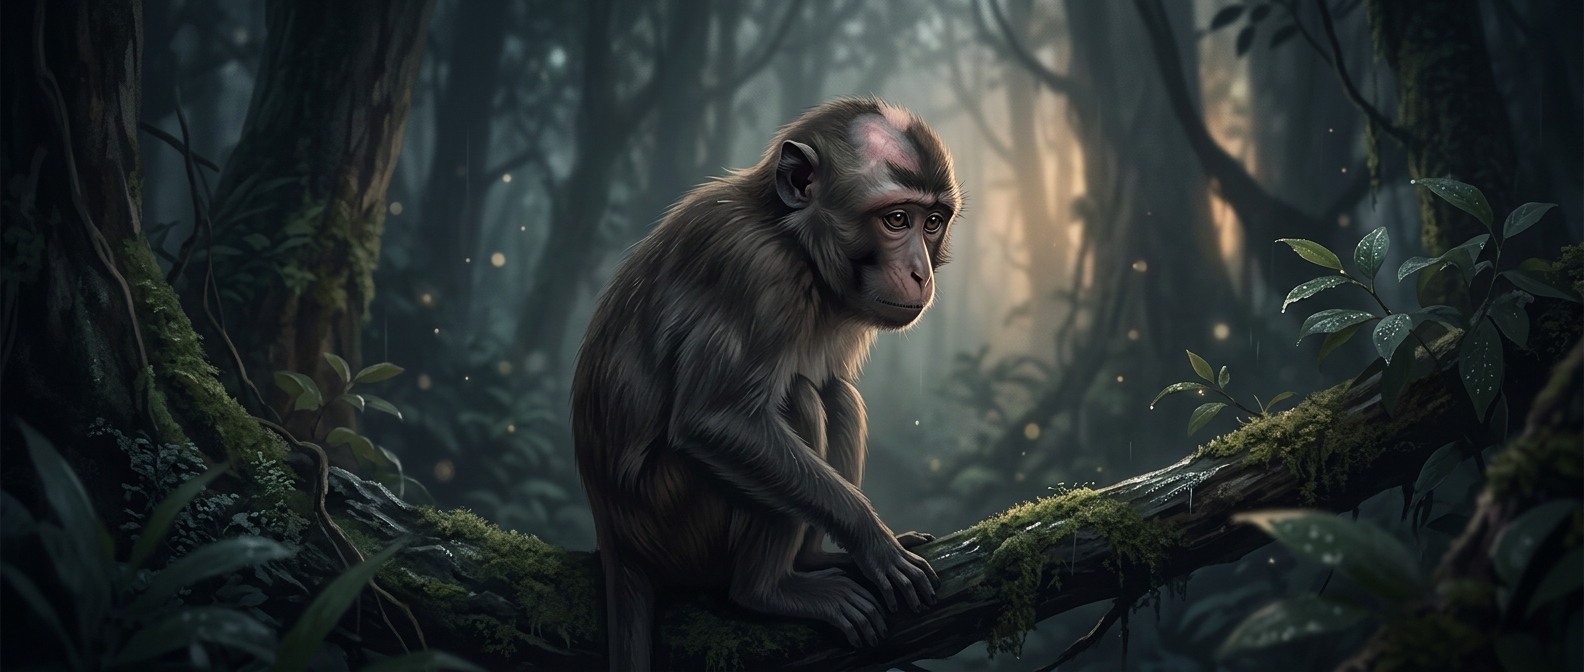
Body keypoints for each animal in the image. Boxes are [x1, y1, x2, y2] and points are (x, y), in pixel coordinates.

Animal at [572, 98, 961, 671]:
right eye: (896, 219)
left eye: (932, 222)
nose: (919, 272)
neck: (788, 234)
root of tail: (613, 536)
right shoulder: (756, 276)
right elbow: (714, 420)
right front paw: (872, 540)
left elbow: (829, 385)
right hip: (672, 520)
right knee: (796, 401)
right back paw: (766, 590)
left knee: (834, 395)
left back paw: (815, 559)